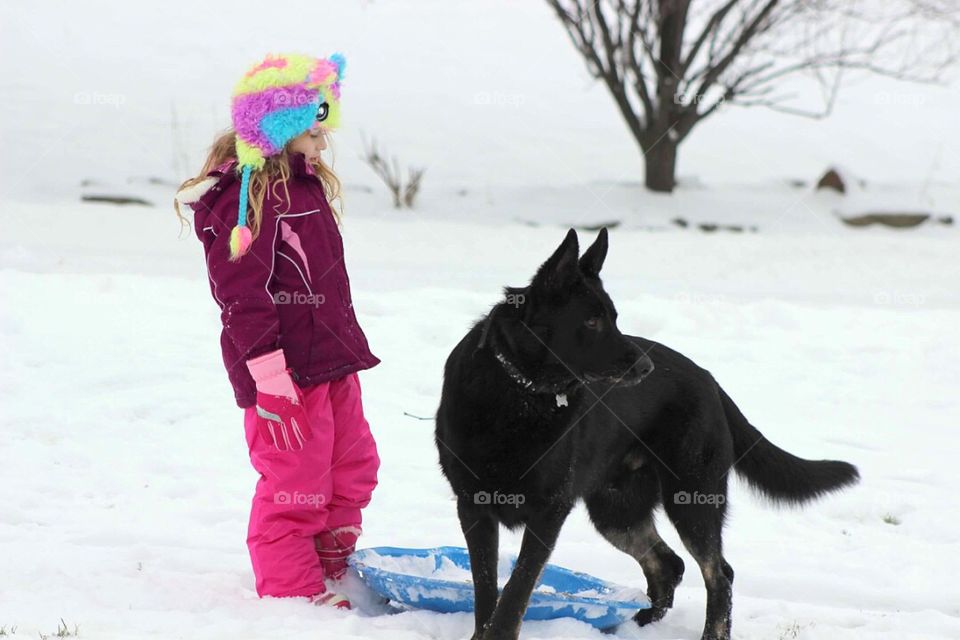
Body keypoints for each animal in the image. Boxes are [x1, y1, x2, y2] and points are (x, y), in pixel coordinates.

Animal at [436, 230, 864, 640]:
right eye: (591, 322)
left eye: (614, 318)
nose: (646, 368)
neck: (521, 392)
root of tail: (708, 379)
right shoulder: (473, 507)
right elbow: (486, 589)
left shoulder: (549, 513)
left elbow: (515, 592)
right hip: (617, 510)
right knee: (668, 563)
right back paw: (642, 622)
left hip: (690, 498)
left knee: (719, 573)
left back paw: (709, 633)